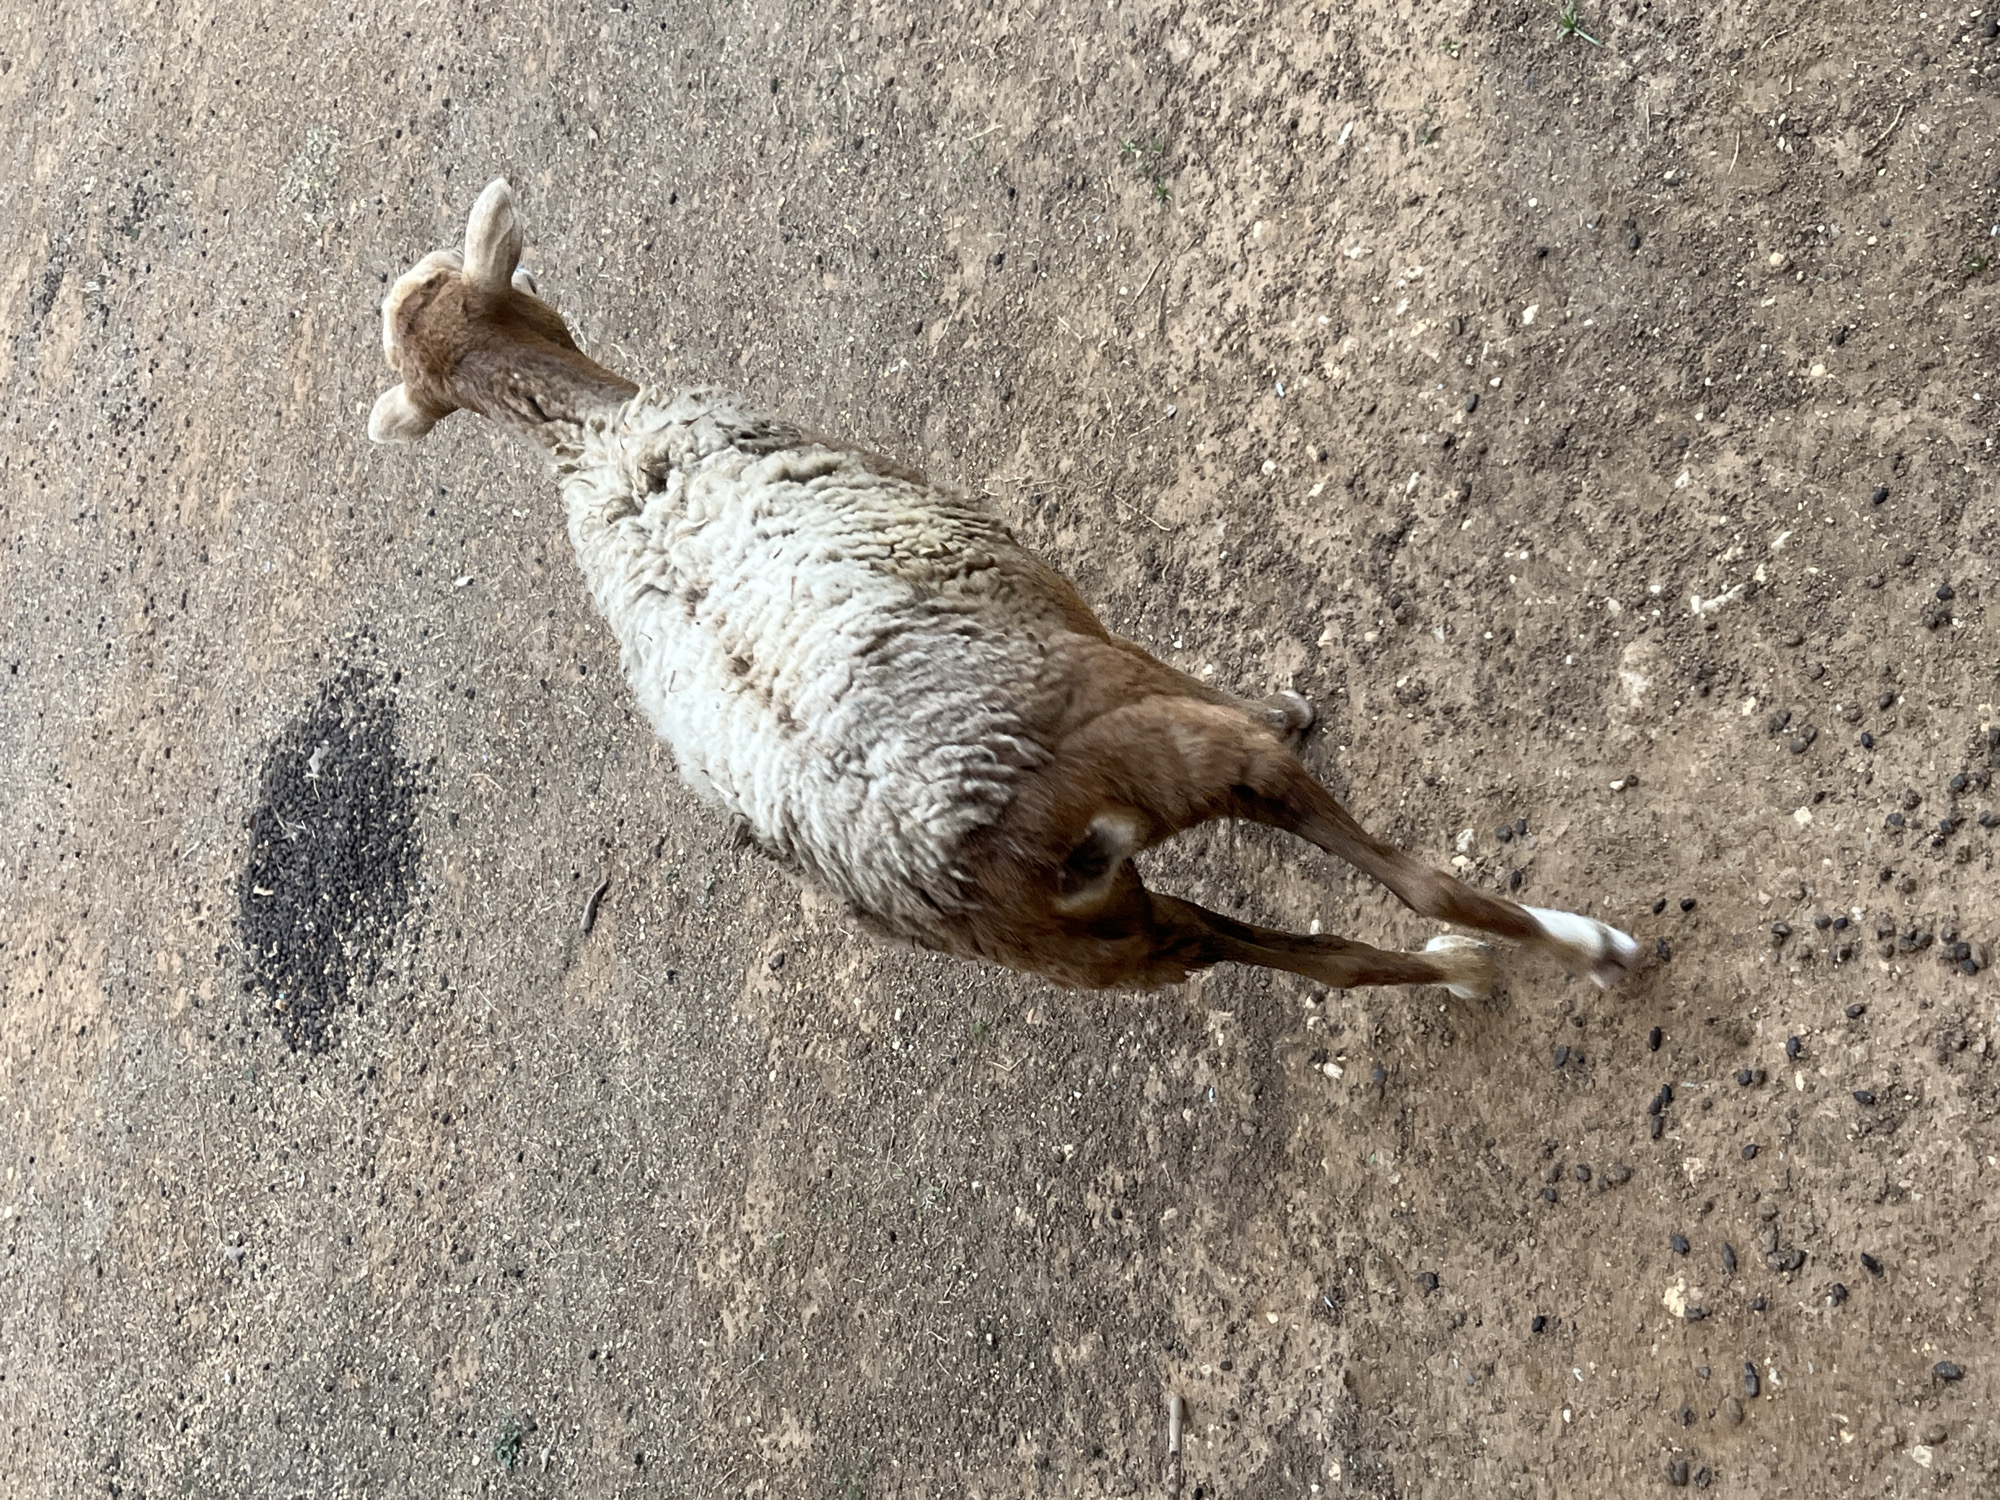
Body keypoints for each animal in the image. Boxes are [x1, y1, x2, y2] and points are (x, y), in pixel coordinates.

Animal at [368, 179, 1640, 996]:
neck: (591, 440)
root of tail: (1006, 853)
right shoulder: (1075, 610)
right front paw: (1284, 701)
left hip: (1098, 949)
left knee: (1294, 955)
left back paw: (1455, 977)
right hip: (1164, 759)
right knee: (1408, 878)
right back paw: (1583, 949)